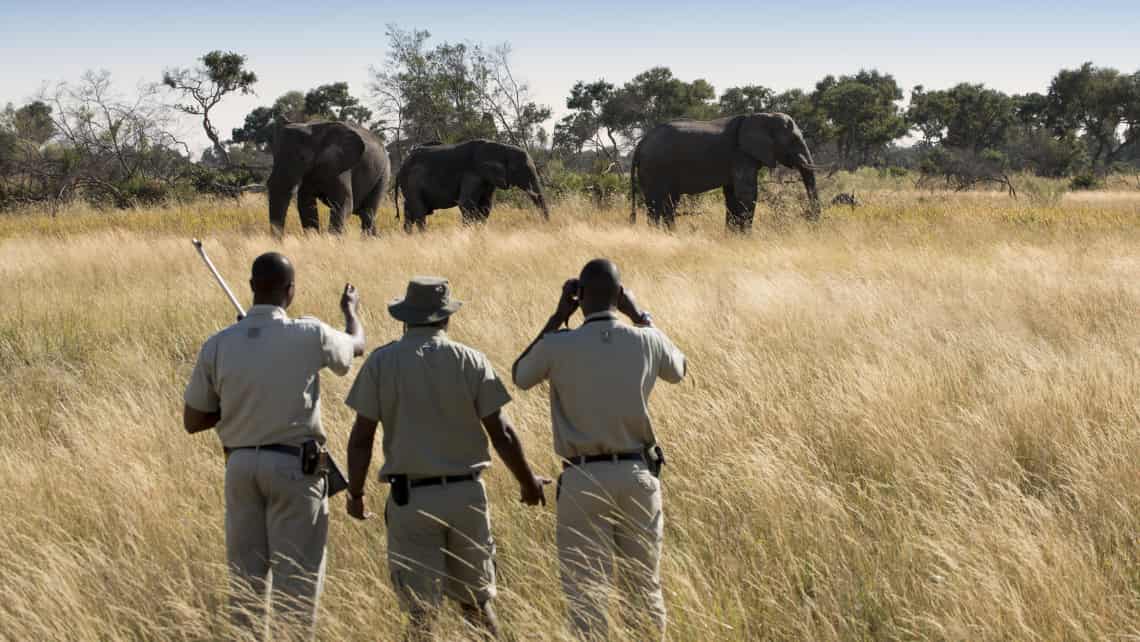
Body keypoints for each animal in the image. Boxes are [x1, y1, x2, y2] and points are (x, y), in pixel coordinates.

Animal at [394, 137, 549, 233]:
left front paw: (480, 232)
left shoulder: (487, 179)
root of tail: (400, 167)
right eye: (519, 170)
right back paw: (424, 236)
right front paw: (468, 233)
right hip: (411, 183)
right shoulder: (473, 174)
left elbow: (485, 206)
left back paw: (409, 236)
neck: (500, 147)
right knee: (419, 212)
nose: (544, 224)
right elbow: (466, 204)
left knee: (409, 211)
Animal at [633, 113, 820, 233]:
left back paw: (670, 234)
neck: (762, 116)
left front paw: (731, 237)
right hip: (655, 168)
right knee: (657, 202)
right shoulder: (741, 155)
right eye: (794, 140)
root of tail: (641, 143)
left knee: (668, 203)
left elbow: (732, 195)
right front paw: (746, 238)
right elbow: (746, 194)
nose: (810, 221)